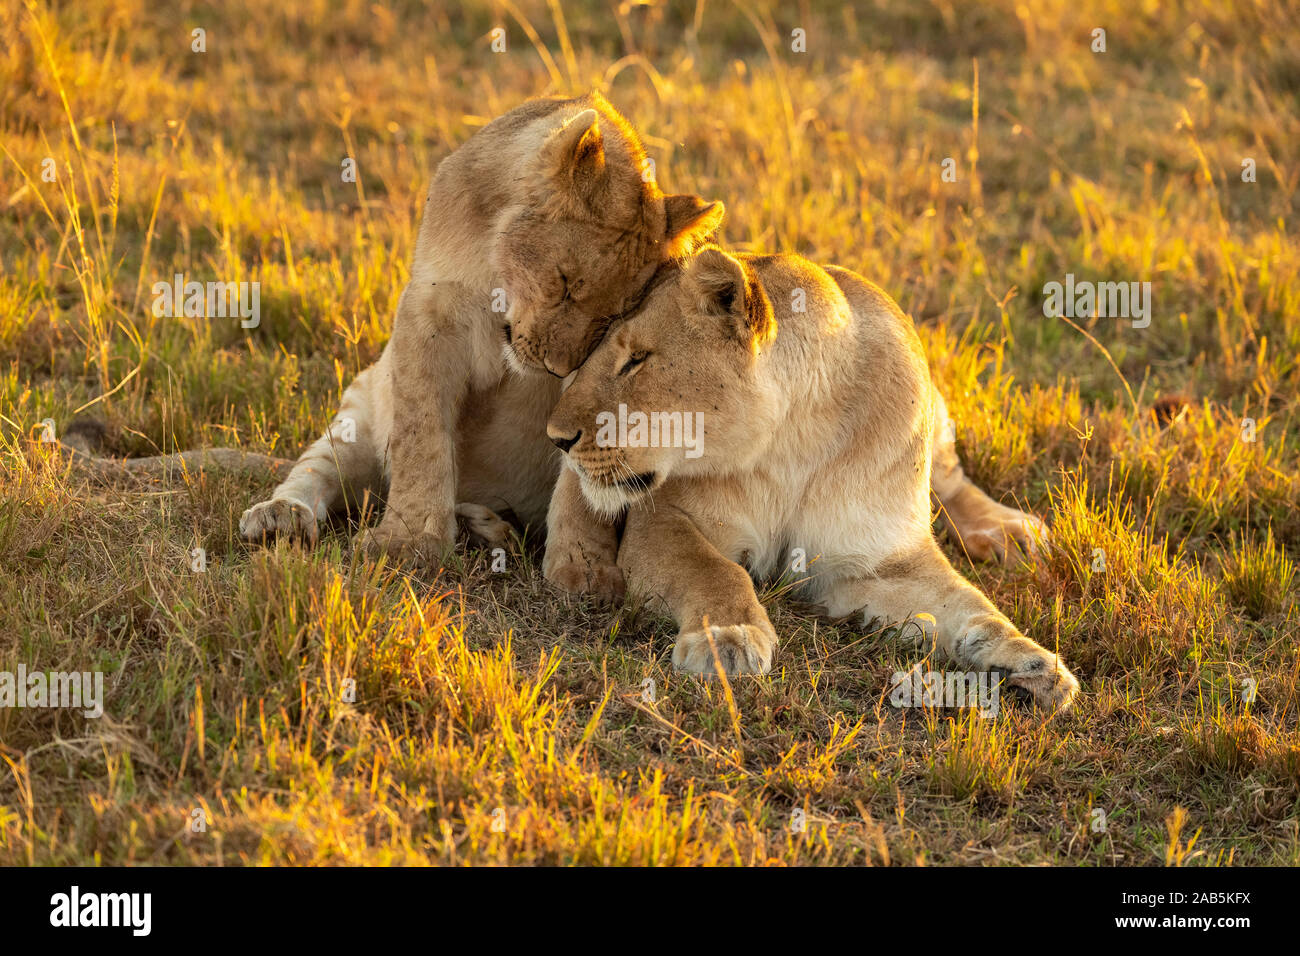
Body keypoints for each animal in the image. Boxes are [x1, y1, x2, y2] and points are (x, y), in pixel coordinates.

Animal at [544, 247, 1079, 710]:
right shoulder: (664, 519)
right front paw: (726, 636)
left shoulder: (877, 563)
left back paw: (1008, 532)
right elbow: (713, 569)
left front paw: (1030, 659)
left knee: (950, 478)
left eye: (636, 359)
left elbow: (971, 605)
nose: (557, 437)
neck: (794, 440)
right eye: (591, 357)